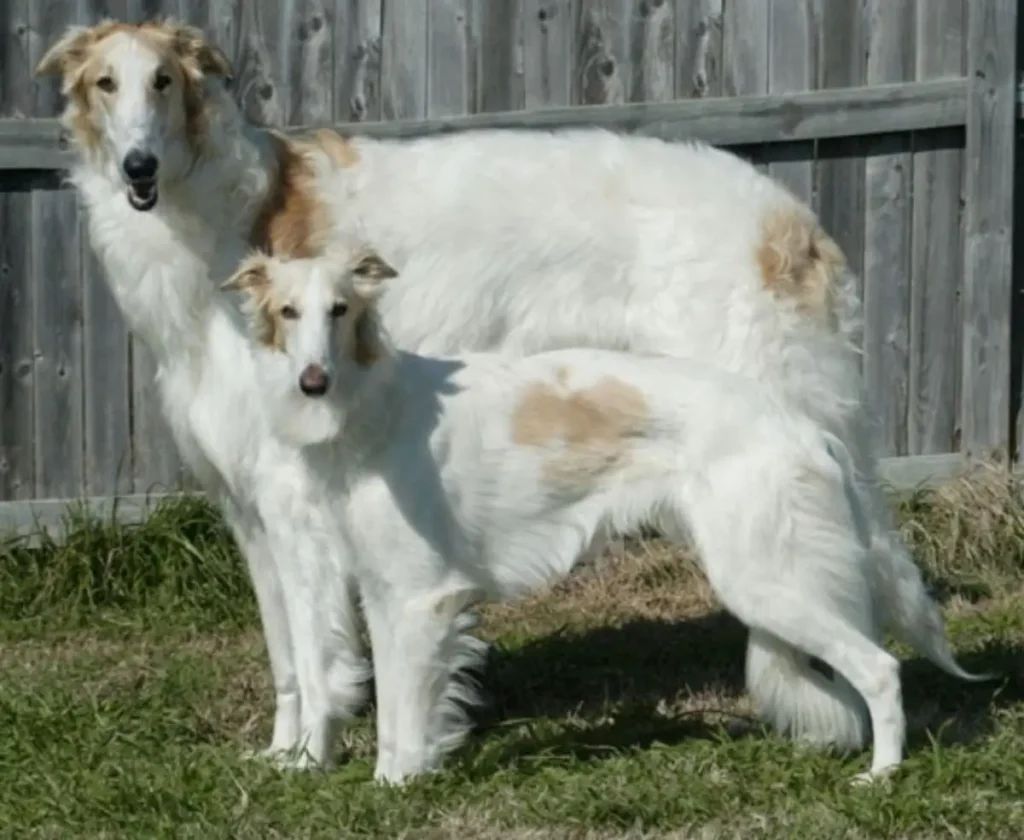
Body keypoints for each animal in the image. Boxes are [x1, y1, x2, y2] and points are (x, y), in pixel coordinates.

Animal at [37, 18, 950, 753]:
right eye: (104, 82)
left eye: (164, 80)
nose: (138, 168)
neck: (216, 223)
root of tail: (791, 219)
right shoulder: (246, 505)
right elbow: (286, 661)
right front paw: (279, 756)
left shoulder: (293, 499)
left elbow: (319, 656)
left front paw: (316, 760)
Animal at [226, 248, 983, 786]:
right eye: (288, 312)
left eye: (340, 310)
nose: (312, 382)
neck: (368, 416)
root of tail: (806, 429)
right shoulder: (358, 583)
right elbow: (355, 694)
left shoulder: (417, 599)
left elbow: (403, 719)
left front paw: (396, 787)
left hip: (767, 581)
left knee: (882, 669)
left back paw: (883, 773)